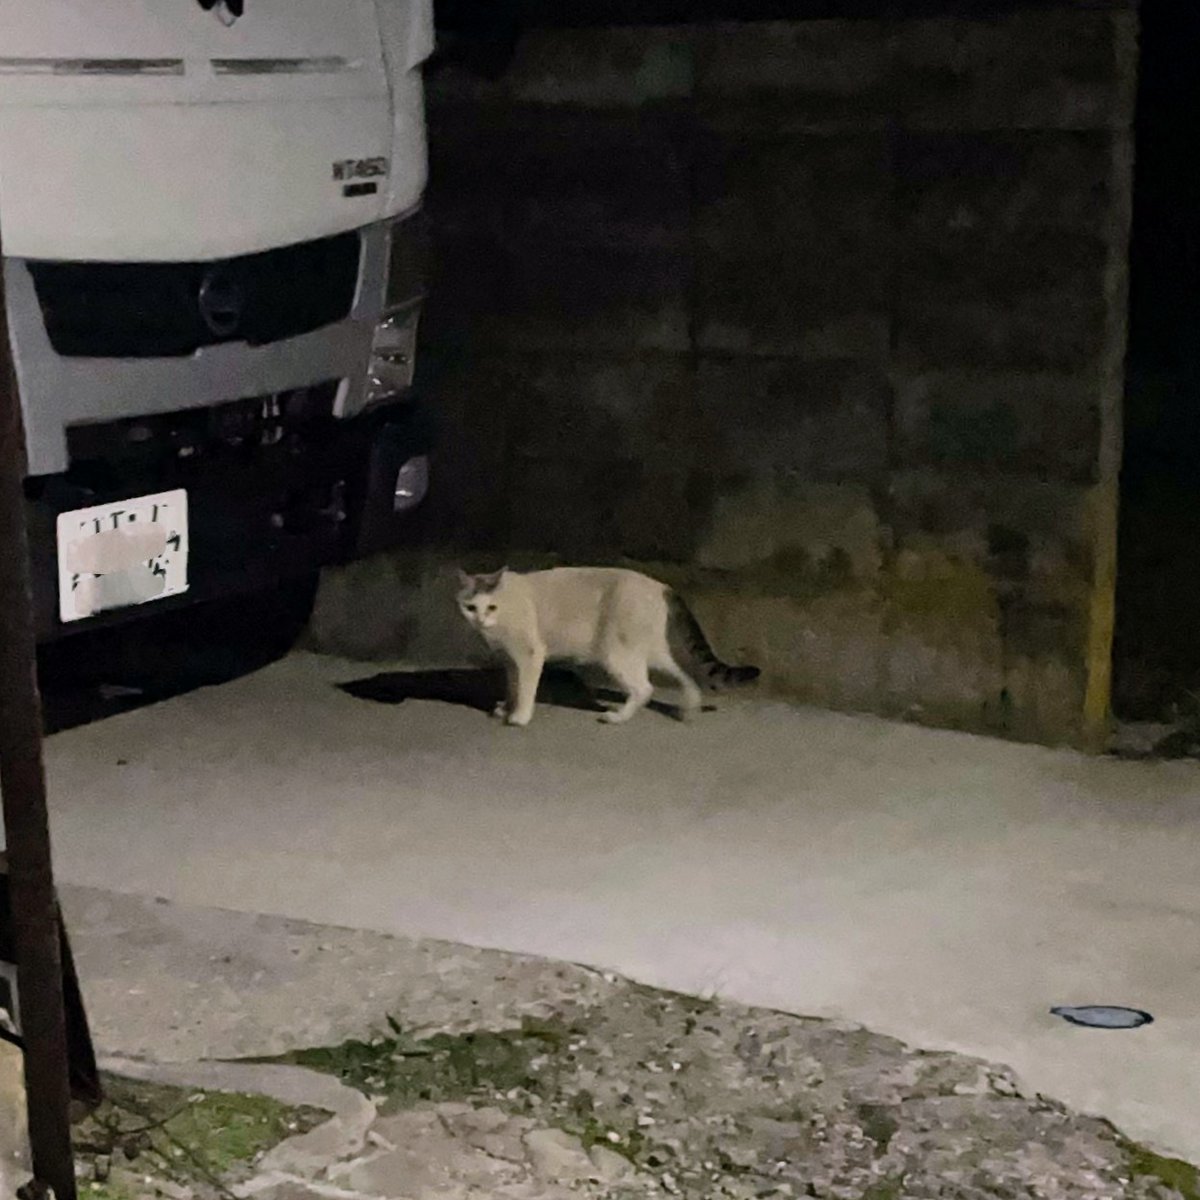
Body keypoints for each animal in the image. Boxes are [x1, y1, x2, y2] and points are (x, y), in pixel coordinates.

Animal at [453, 566, 753, 724]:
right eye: (470, 607)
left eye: (491, 607)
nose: (480, 620)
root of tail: (661, 586)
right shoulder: (509, 661)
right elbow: (512, 686)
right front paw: (507, 708)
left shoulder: (528, 654)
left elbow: (525, 689)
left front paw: (519, 716)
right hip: (648, 650)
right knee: (683, 673)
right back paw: (689, 707)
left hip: (617, 653)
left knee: (644, 688)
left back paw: (619, 717)